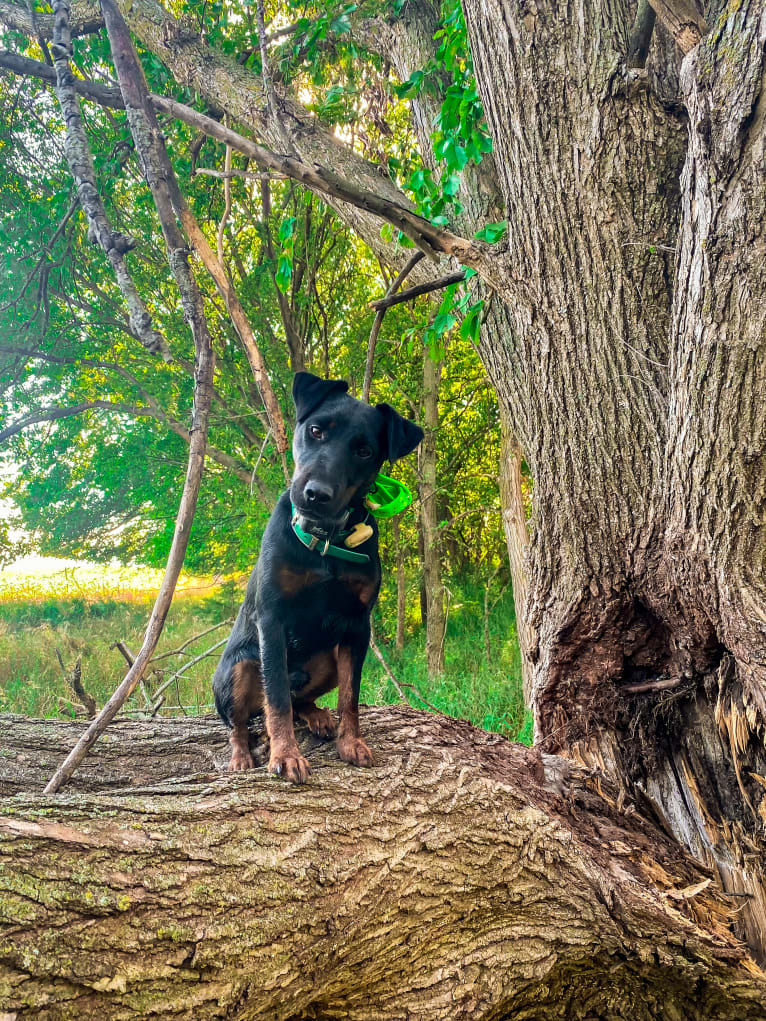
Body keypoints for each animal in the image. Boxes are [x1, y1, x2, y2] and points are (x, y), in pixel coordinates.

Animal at [213, 373, 422, 780]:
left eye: (364, 451)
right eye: (315, 430)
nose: (315, 494)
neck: (325, 543)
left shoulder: (357, 626)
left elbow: (350, 696)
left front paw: (351, 742)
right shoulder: (272, 620)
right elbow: (277, 697)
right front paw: (285, 755)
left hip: (327, 659)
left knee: (301, 700)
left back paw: (317, 717)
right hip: (239, 668)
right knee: (242, 719)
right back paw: (241, 755)